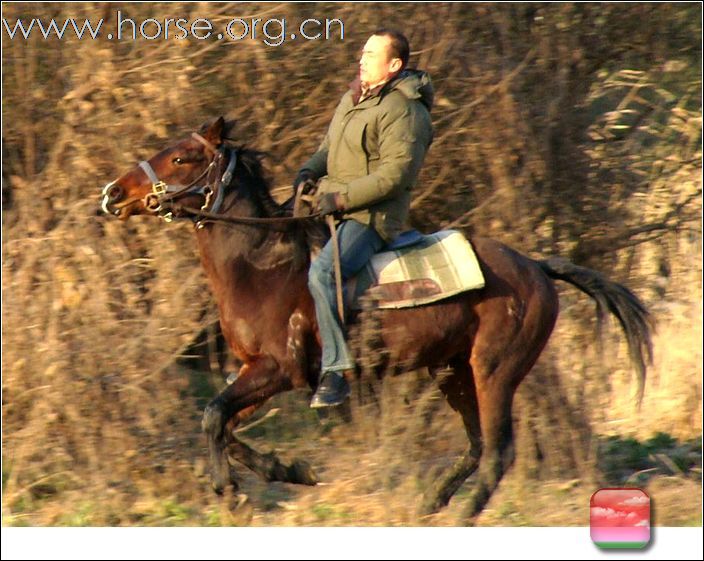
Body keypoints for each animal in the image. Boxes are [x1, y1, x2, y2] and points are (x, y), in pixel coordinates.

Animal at [102, 117, 652, 520]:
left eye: (180, 157)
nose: (113, 193)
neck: (261, 265)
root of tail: (536, 267)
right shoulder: (253, 371)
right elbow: (223, 425)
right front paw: (292, 469)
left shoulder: (278, 370)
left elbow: (214, 416)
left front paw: (231, 492)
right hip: (452, 372)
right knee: (477, 445)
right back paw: (431, 501)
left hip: (494, 371)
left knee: (499, 452)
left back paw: (461, 515)